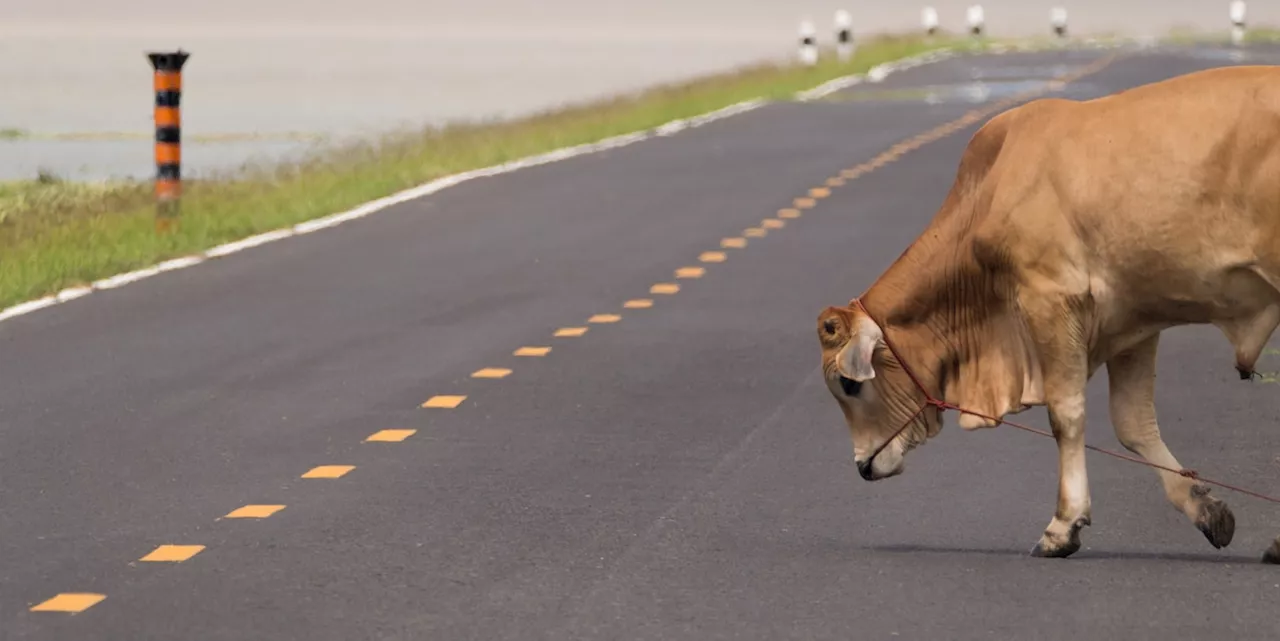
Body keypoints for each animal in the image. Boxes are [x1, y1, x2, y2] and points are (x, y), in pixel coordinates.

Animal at [814, 64, 1280, 562]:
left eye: (847, 384)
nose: (863, 465)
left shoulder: (1052, 300)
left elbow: (1066, 415)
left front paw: (1063, 526)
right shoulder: (1133, 322)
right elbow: (1133, 423)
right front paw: (1204, 508)